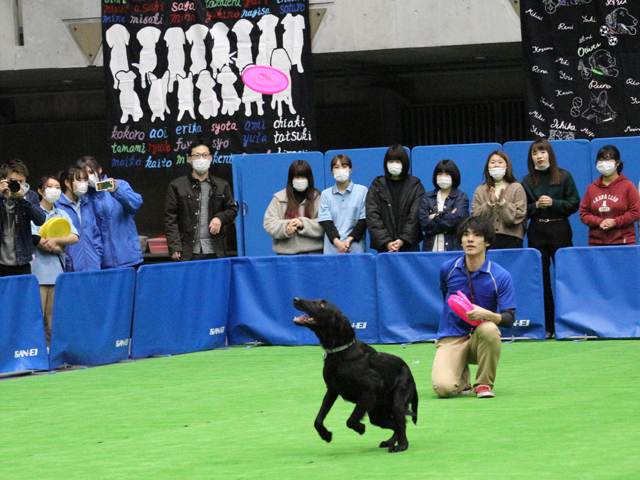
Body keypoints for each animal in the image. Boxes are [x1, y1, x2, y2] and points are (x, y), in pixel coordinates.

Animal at [292, 298, 418, 452]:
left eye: (321, 304)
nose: (296, 299)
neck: (340, 352)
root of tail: (409, 372)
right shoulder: (332, 389)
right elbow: (318, 420)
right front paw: (326, 435)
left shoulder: (370, 388)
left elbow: (351, 420)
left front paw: (360, 427)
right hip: (377, 414)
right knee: (396, 424)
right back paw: (390, 442)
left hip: (396, 400)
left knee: (401, 423)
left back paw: (401, 445)